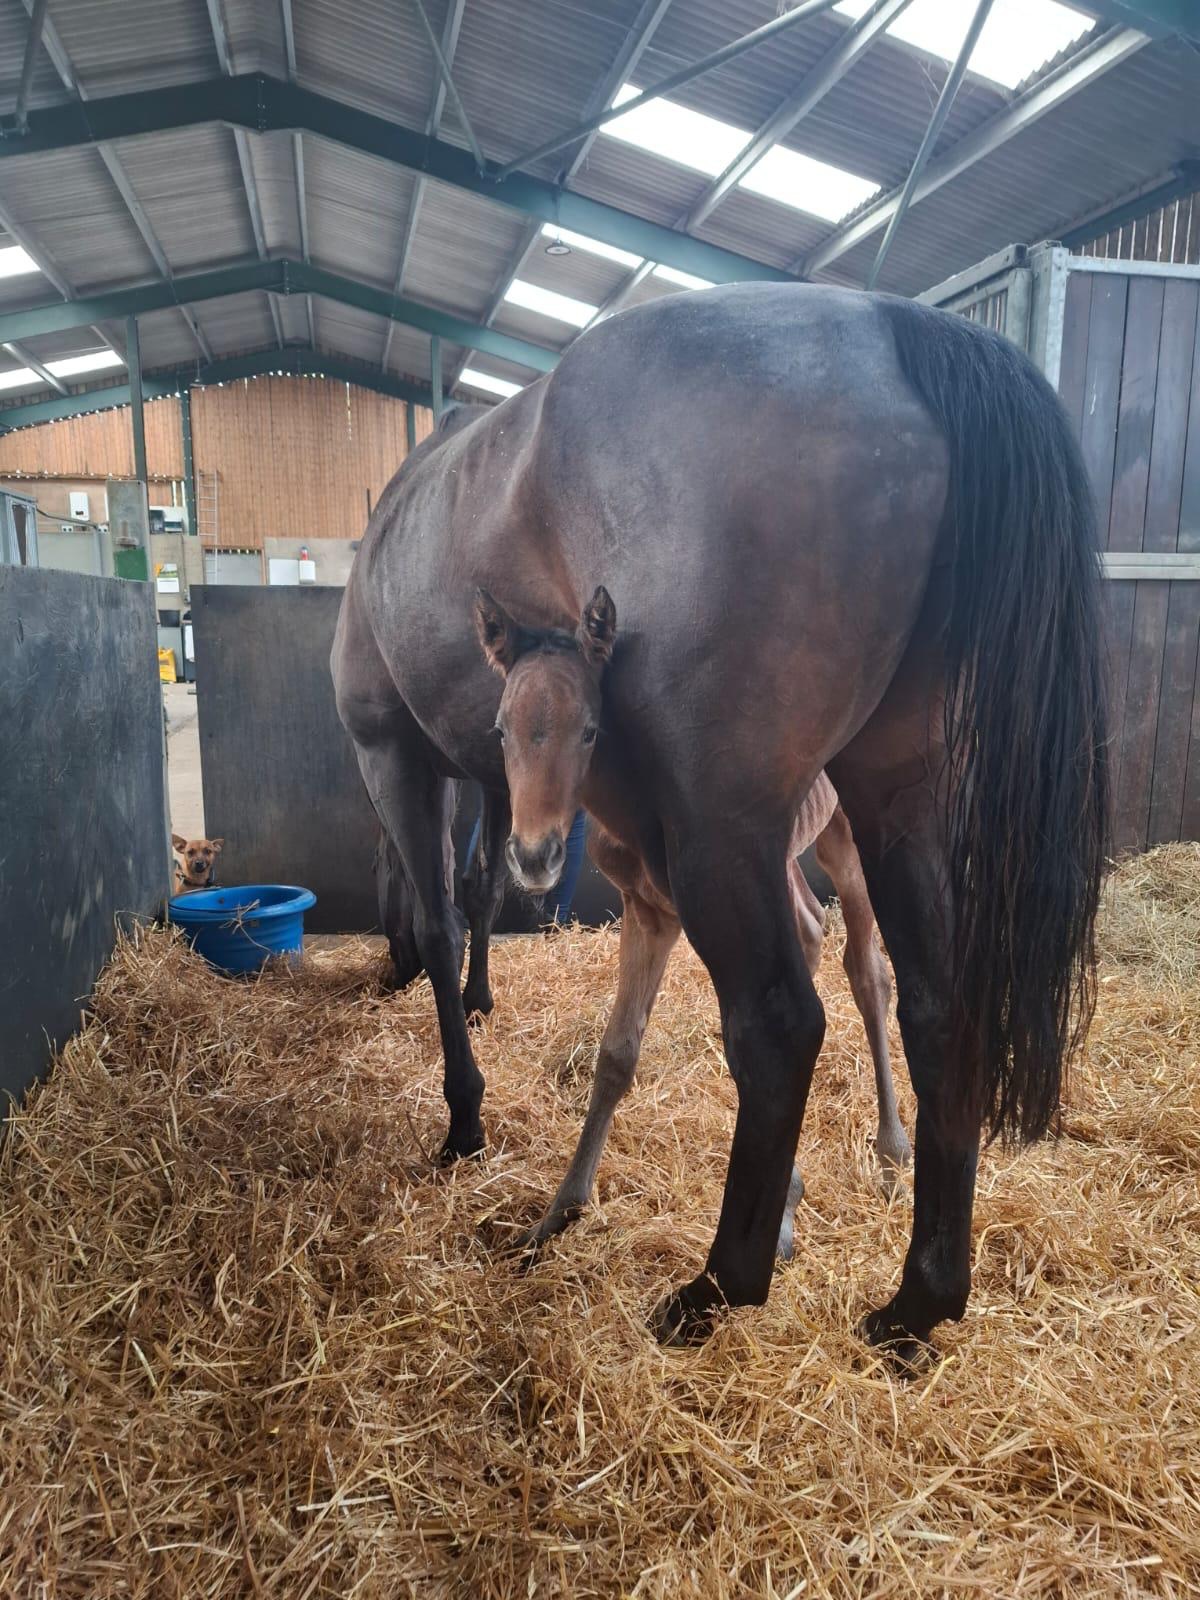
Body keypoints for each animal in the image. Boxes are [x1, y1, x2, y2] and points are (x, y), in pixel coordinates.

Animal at [332, 281, 1107, 1358]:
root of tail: (894, 321)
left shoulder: (394, 755)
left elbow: (445, 923)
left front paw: (463, 1114)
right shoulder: (489, 780)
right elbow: (482, 890)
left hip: (725, 842)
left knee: (782, 1024)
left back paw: (717, 1285)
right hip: (893, 803)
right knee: (935, 1006)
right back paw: (918, 1301)